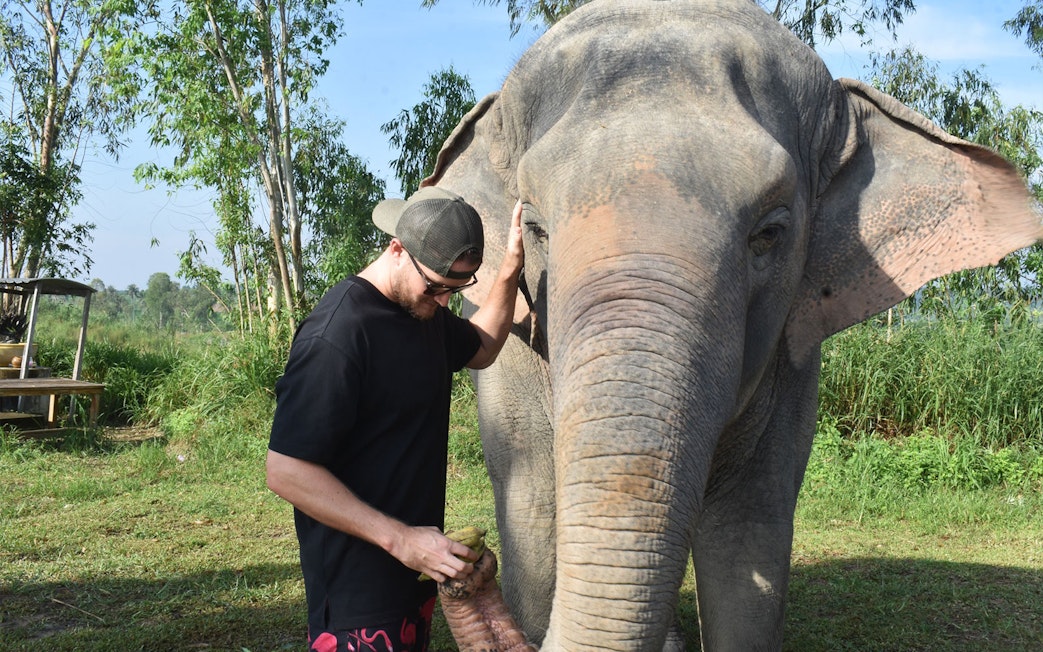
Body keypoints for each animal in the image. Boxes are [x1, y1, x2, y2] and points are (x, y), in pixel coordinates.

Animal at [422, 0, 1043, 649]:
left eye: (769, 232)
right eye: (536, 229)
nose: (469, 564)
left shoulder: (791, 358)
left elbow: (748, 533)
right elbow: (535, 510)